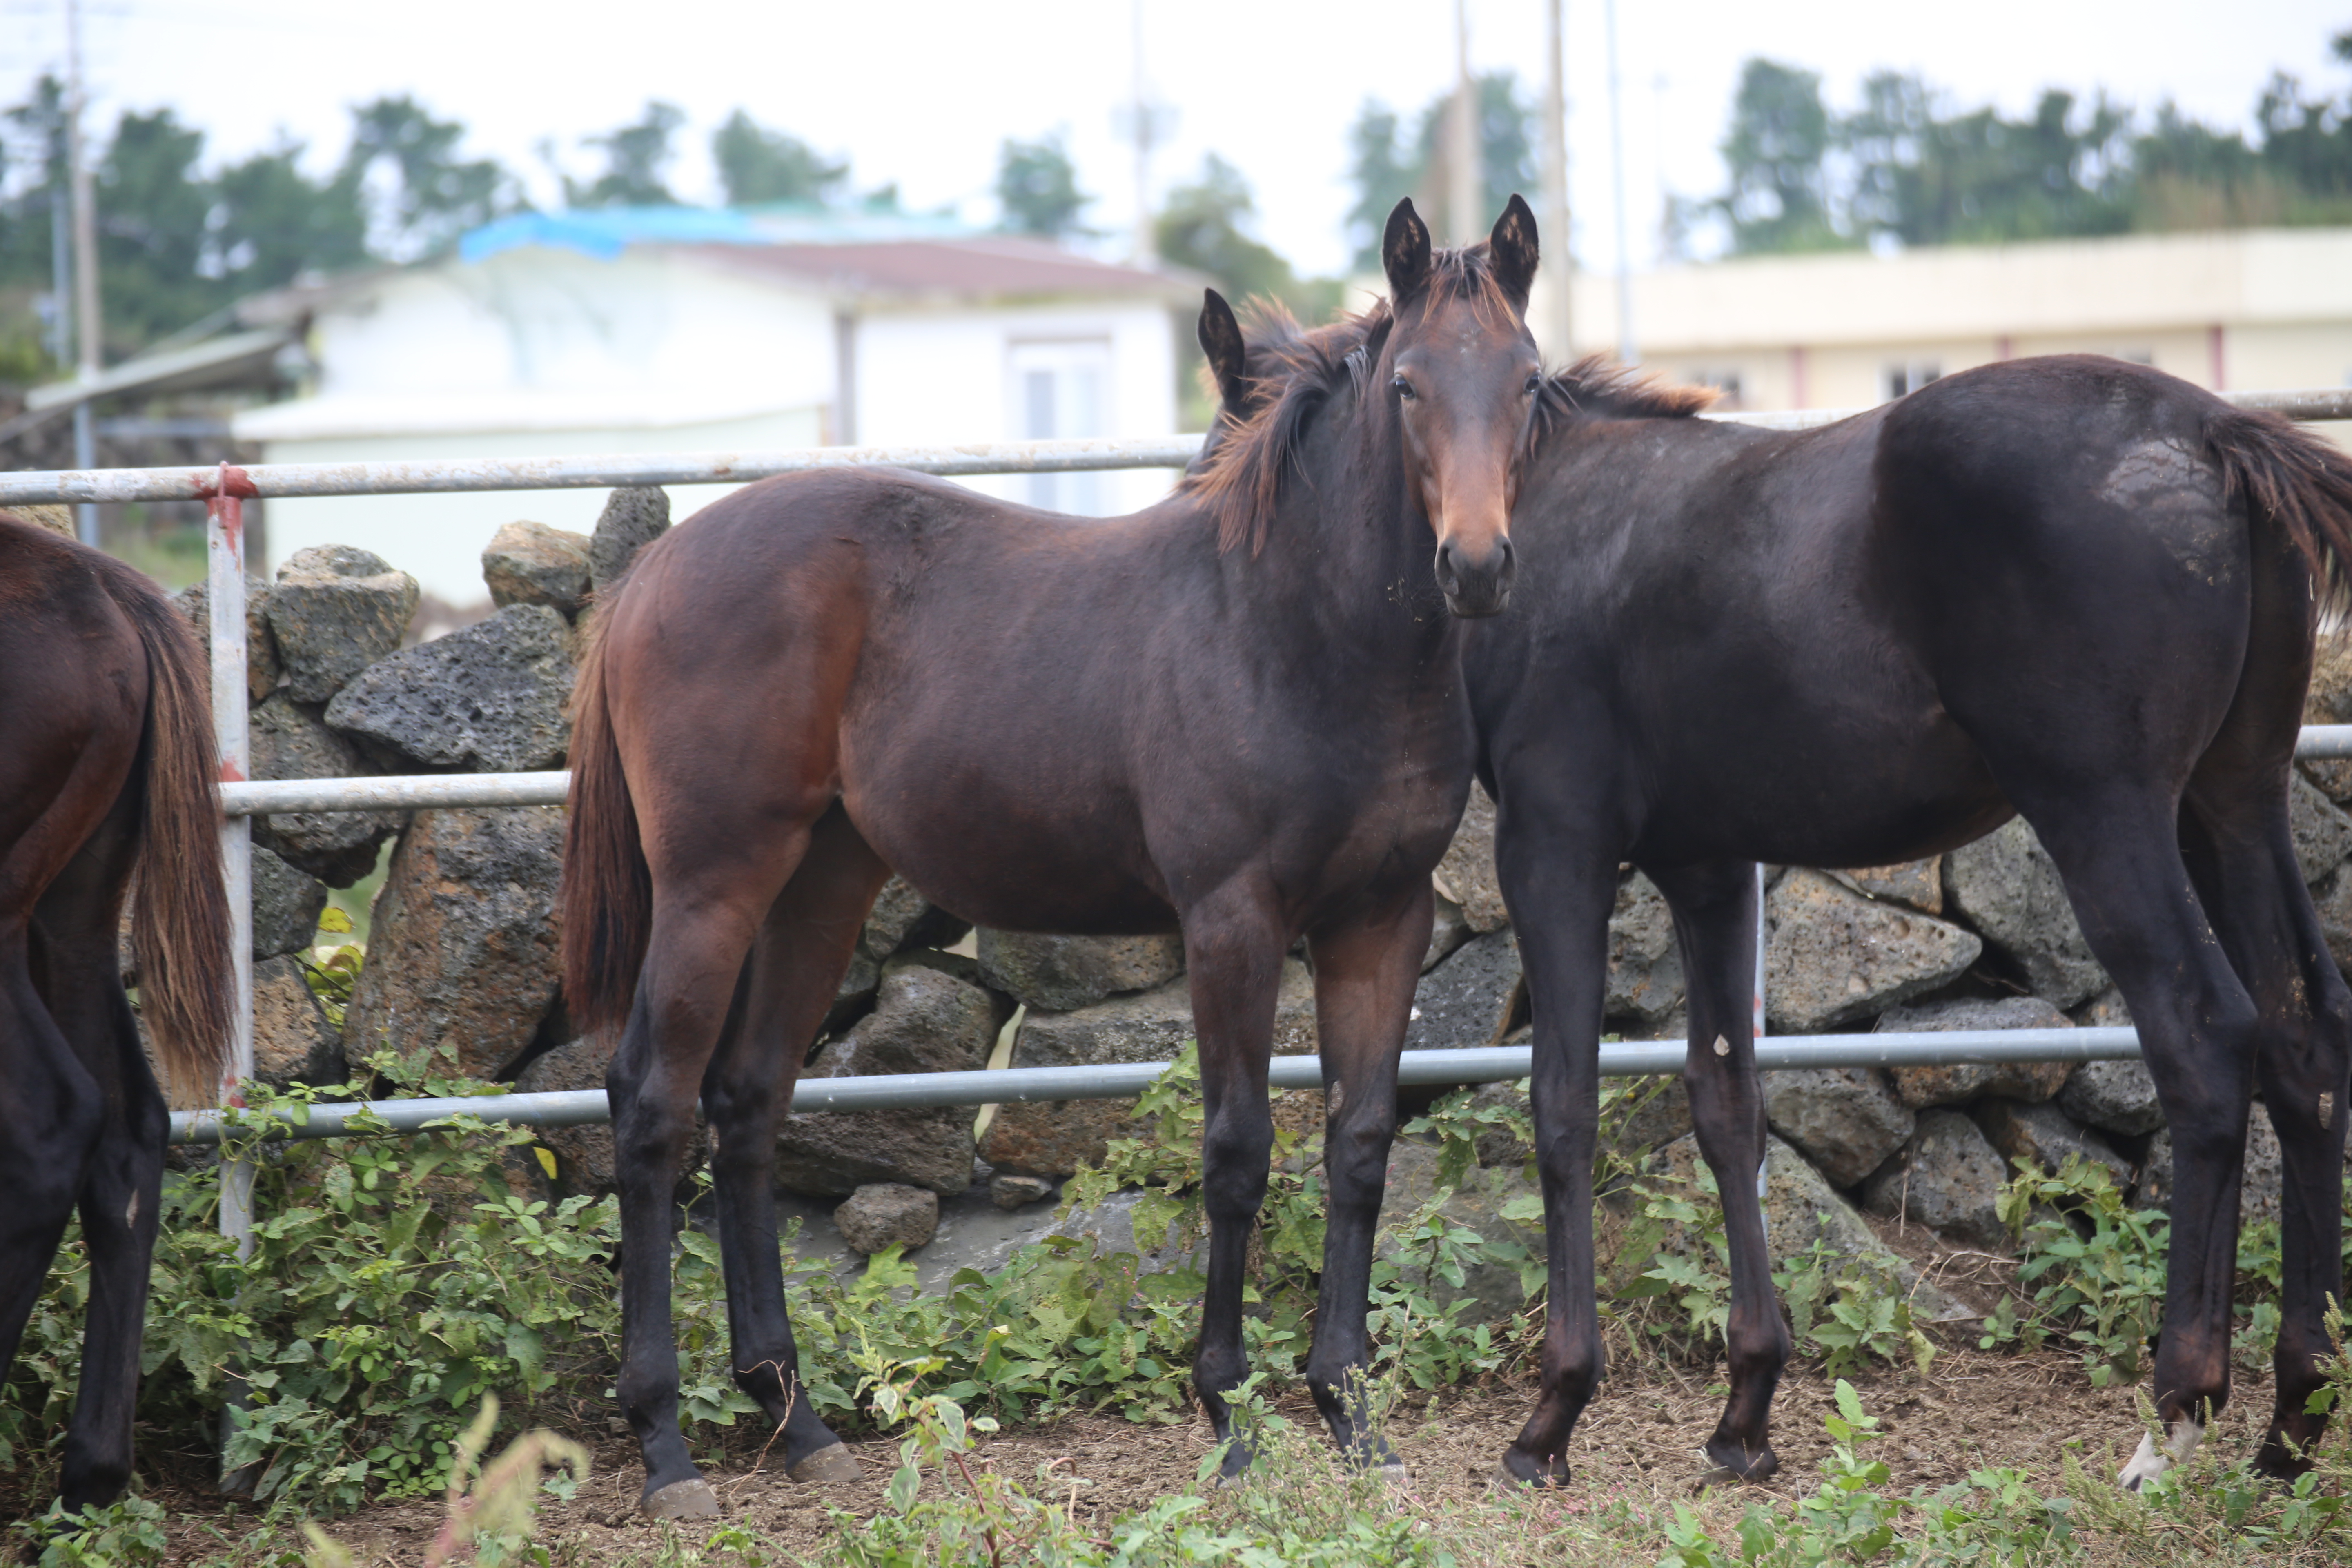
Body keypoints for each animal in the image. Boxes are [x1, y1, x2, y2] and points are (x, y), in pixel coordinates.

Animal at [559, 200, 1552, 1523]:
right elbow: (1236, 1151)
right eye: (1406, 385)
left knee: (748, 1099)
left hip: (820, 882)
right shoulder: (1233, 920)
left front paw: (1351, 1414)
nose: (1477, 567)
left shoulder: (1377, 919)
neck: (1300, 630)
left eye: (1530, 381)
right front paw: (1229, 1415)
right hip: (714, 883)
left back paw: (799, 1418)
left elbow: (1358, 1146)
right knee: (652, 1105)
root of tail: (648, 574)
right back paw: (667, 1444)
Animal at [1468, 359, 2352, 1495]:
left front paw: (1551, 1419)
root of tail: (2208, 428)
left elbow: (1561, 1100)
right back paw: (2292, 1421)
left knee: (2204, 1041)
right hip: (2232, 803)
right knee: (2301, 1034)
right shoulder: (1708, 867)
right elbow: (1725, 1097)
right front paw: (1742, 1417)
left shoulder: (1554, 852)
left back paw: (2172, 1422)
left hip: (2106, 814)